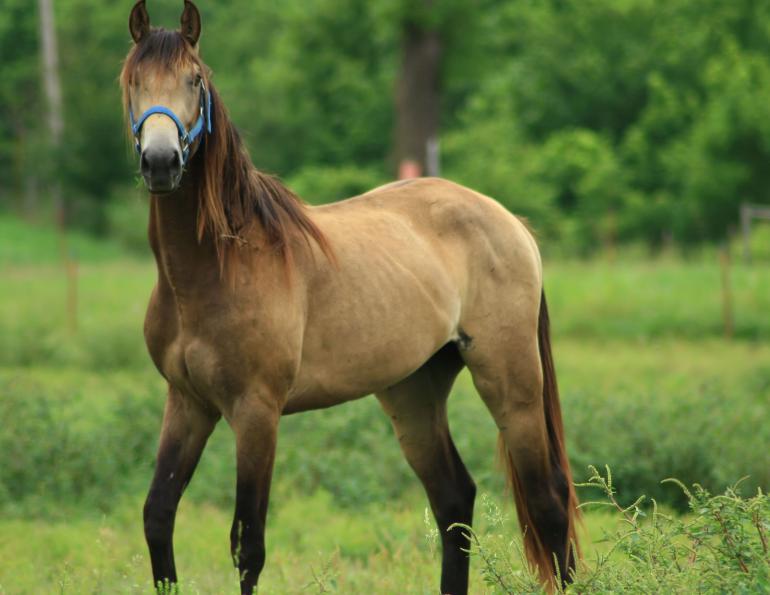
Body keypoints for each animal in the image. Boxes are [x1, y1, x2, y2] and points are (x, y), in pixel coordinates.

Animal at [120, 2, 579, 593]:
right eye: (133, 80)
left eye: (194, 80)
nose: (161, 162)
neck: (217, 266)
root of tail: (509, 221)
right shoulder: (187, 403)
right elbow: (159, 516)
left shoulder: (255, 411)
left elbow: (248, 547)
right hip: (412, 393)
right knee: (454, 501)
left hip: (511, 384)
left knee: (547, 503)